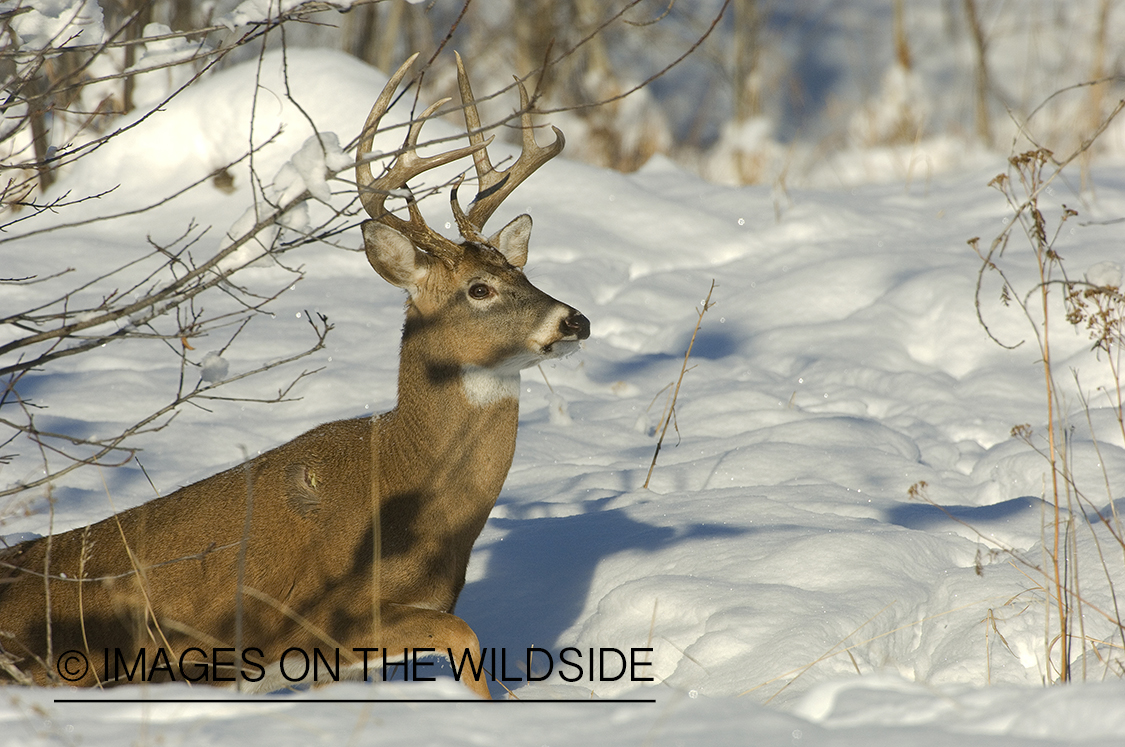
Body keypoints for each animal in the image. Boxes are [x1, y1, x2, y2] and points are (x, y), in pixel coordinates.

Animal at [0, 54, 589, 702]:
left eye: (524, 274)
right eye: (479, 289)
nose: (575, 320)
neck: (415, 494)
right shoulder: (316, 618)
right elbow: (465, 636)